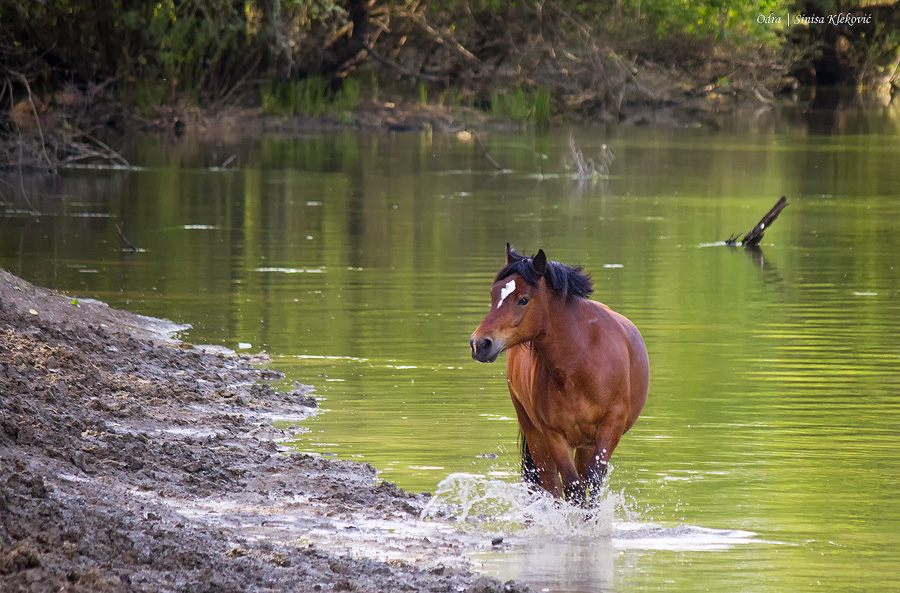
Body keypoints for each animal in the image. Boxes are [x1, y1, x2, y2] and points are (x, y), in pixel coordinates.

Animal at [472, 243, 648, 506]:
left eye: (523, 300)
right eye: (494, 295)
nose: (479, 344)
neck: (579, 363)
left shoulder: (611, 424)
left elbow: (593, 479)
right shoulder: (552, 434)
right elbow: (571, 486)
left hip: (586, 444)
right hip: (535, 434)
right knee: (549, 483)